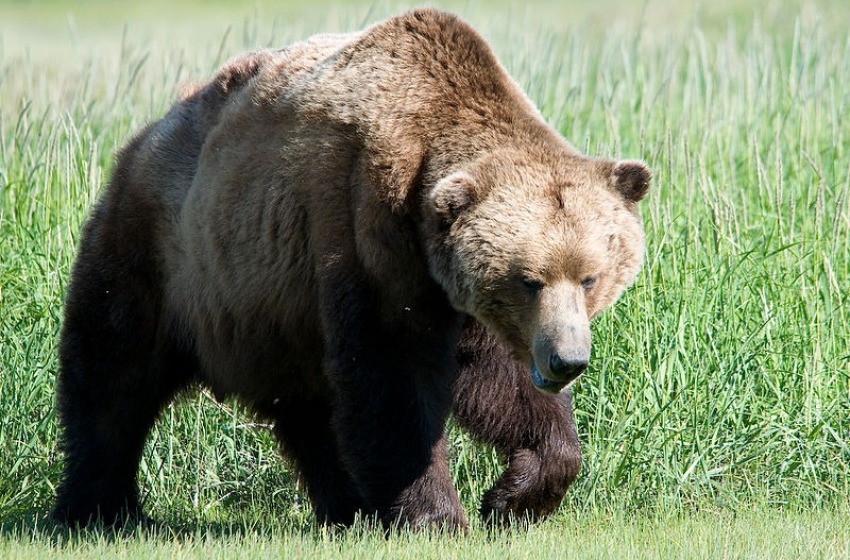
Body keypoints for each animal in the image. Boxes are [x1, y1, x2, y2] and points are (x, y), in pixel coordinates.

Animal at [52, 9, 650, 530]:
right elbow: (392, 374)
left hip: (275, 311)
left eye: (590, 277)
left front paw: (513, 495)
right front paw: (437, 515)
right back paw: (98, 508)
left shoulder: (456, 291)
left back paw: (346, 506)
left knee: (308, 410)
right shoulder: (367, 228)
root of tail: (147, 133)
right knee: (111, 372)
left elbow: (500, 383)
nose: (566, 360)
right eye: (528, 280)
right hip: (165, 252)